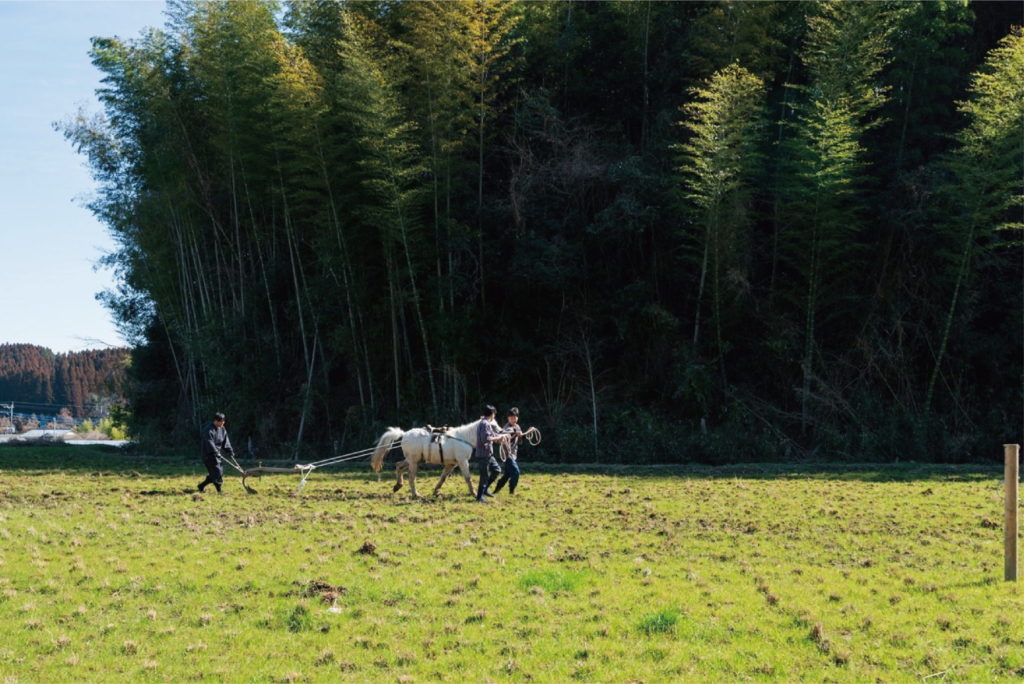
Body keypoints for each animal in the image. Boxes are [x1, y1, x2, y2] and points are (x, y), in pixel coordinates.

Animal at [372, 419, 507, 499]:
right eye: (493, 426)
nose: (503, 432)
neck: (464, 437)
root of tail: (405, 434)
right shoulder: (463, 461)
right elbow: (468, 478)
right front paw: (473, 493)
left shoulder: (451, 464)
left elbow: (443, 478)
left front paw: (436, 491)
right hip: (413, 462)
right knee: (411, 477)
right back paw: (416, 494)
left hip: (412, 460)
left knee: (399, 465)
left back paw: (398, 485)